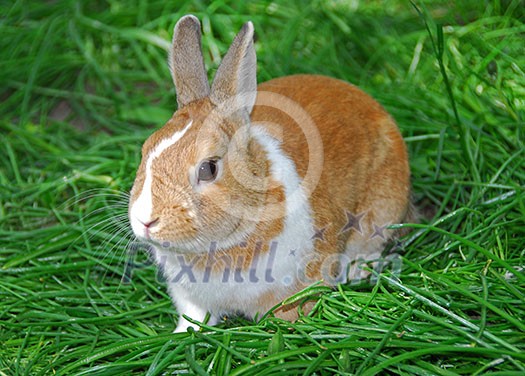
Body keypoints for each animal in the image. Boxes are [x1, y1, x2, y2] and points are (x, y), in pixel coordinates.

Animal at [128, 15, 414, 332]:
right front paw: (184, 334)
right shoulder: (192, 300)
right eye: (145, 149)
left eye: (208, 168)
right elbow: (195, 317)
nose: (145, 220)